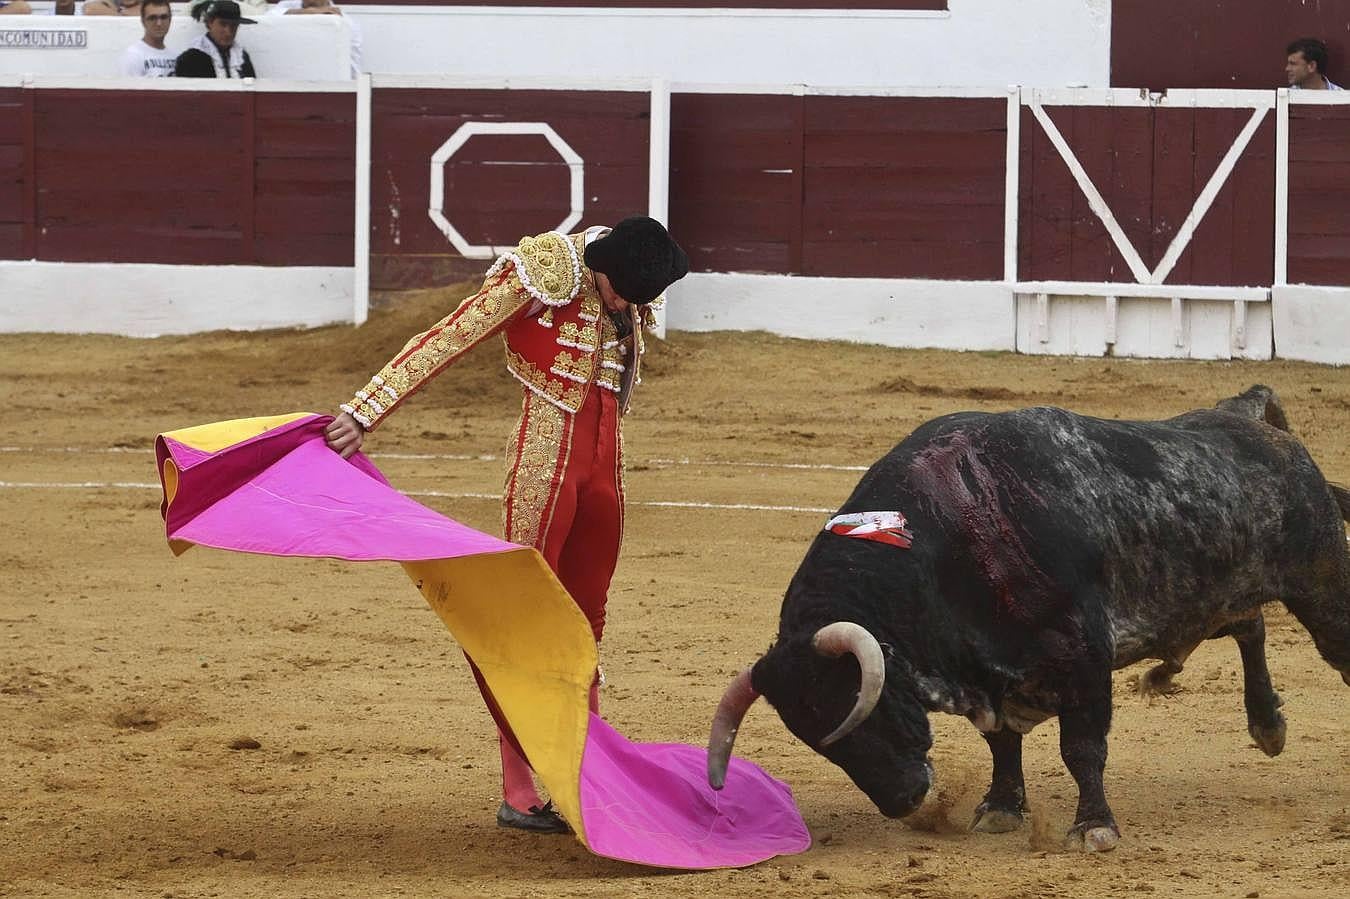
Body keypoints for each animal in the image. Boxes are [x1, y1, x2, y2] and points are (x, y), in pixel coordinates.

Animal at [707, 386, 1350, 847]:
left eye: (856, 705)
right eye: (817, 739)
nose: (904, 801)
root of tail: (1253, 417)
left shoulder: (1084, 655)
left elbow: (1082, 747)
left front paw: (1094, 828)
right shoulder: (992, 673)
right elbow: (1002, 744)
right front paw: (999, 809)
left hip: (1322, 587)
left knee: (1327, 647)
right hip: (1212, 592)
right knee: (1249, 624)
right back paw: (1260, 722)